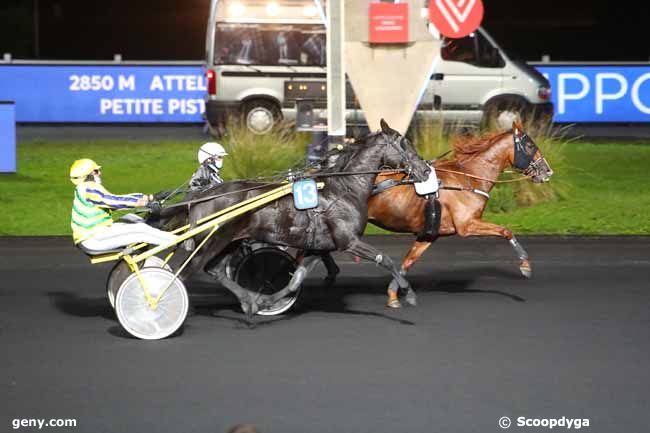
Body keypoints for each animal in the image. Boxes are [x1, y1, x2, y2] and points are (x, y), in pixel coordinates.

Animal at [178, 120, 430, 312]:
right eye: (405, 144)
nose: (426, 170)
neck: (345, 188)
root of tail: (202, 196)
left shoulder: (316, 246)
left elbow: (294, 280)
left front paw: (267, 300)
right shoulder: (349, 242)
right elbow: (385, 259)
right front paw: (408, 293)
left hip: (230, 241)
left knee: (216, 270)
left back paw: (248, 300)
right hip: (212, 241)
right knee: (185, 274)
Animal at [364, 121, 552, 308]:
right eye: (530, 145)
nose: (548, 171)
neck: (469, 178)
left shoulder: (429, 234)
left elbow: (408, 261)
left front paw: (393, 294)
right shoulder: (466, 225)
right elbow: (505, 231)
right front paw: (525, 265)